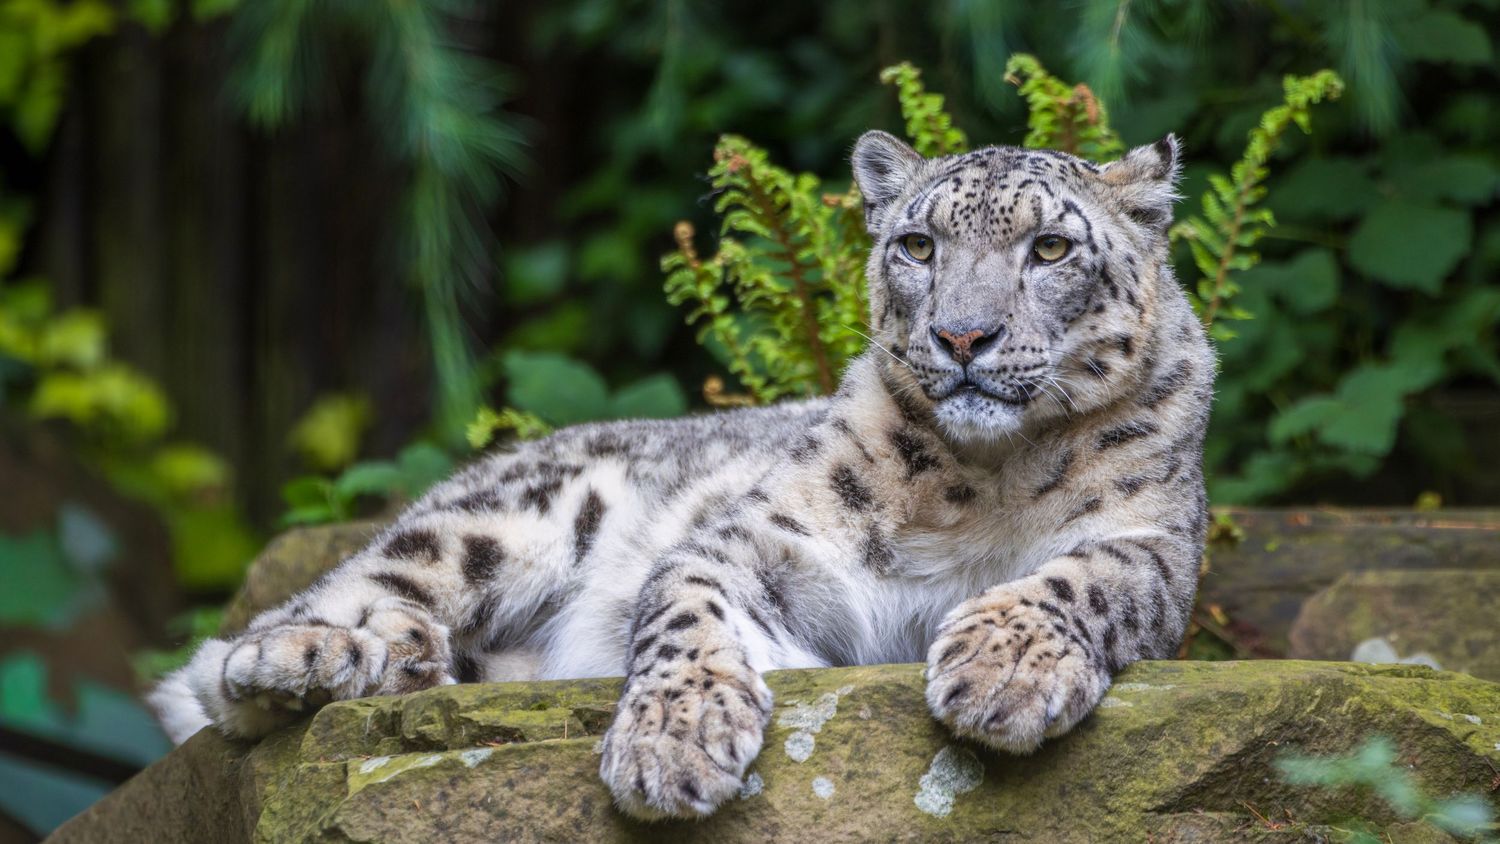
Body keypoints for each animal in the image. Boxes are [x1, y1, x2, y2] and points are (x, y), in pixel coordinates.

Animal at [150, 129, 1214, 821]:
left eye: (1051, 247)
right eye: (918, 245)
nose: (962, 335)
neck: (980, 480)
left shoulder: (1153, 548)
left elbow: (1083, 577)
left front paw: (1003, 672)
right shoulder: (765, 538)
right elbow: (685, 606)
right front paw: (676, 740)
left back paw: (408, 663)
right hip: (496, 522)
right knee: (250, 644)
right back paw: (321, 659)